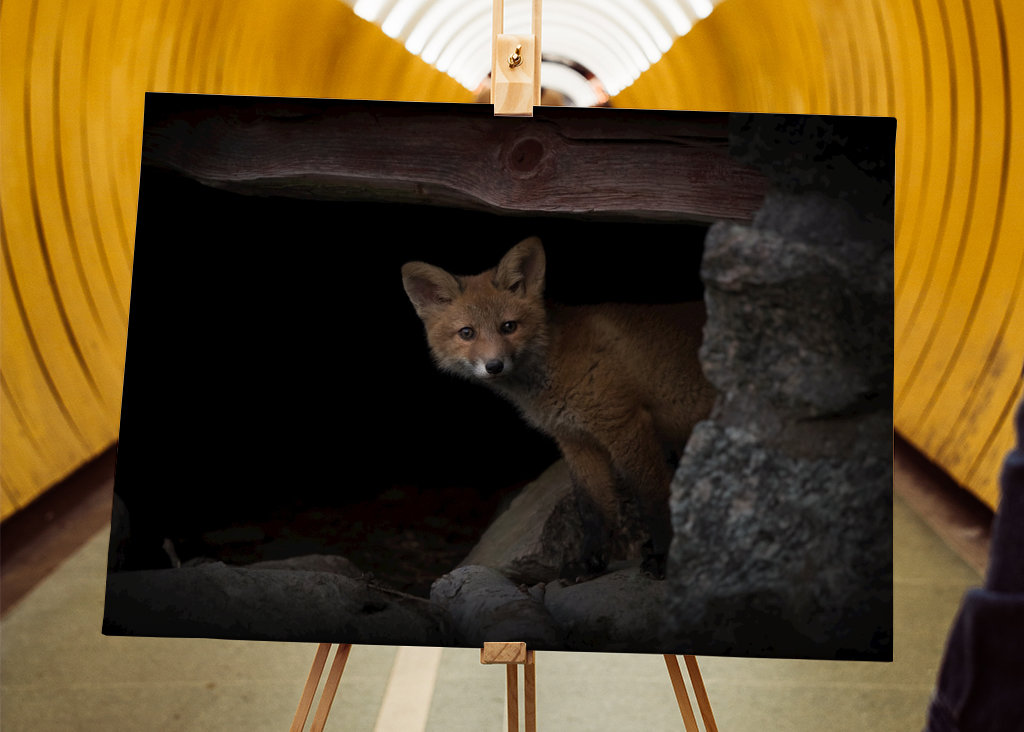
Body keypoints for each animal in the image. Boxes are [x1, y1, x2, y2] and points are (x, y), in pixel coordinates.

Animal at [401, 236, 716, 572]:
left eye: (508, 327)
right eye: (467, 333)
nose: (494, 365)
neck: (555, 367)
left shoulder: (625, 425)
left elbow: (653, 498)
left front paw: (663, 556)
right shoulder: (575, 440)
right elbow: (593, 509)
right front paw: (588, 564)